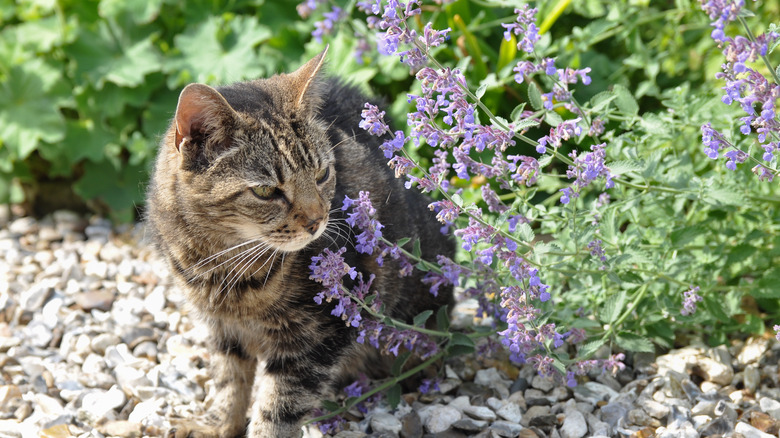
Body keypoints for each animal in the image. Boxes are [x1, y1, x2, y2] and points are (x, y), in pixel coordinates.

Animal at [145, 48, 458, 438]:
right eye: (266, 191)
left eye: (322, 174)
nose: (316, 220)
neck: (223, 262)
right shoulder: (222, 328)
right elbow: (228, 380)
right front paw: (216, 425)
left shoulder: (318, 336)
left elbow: (278, 407)